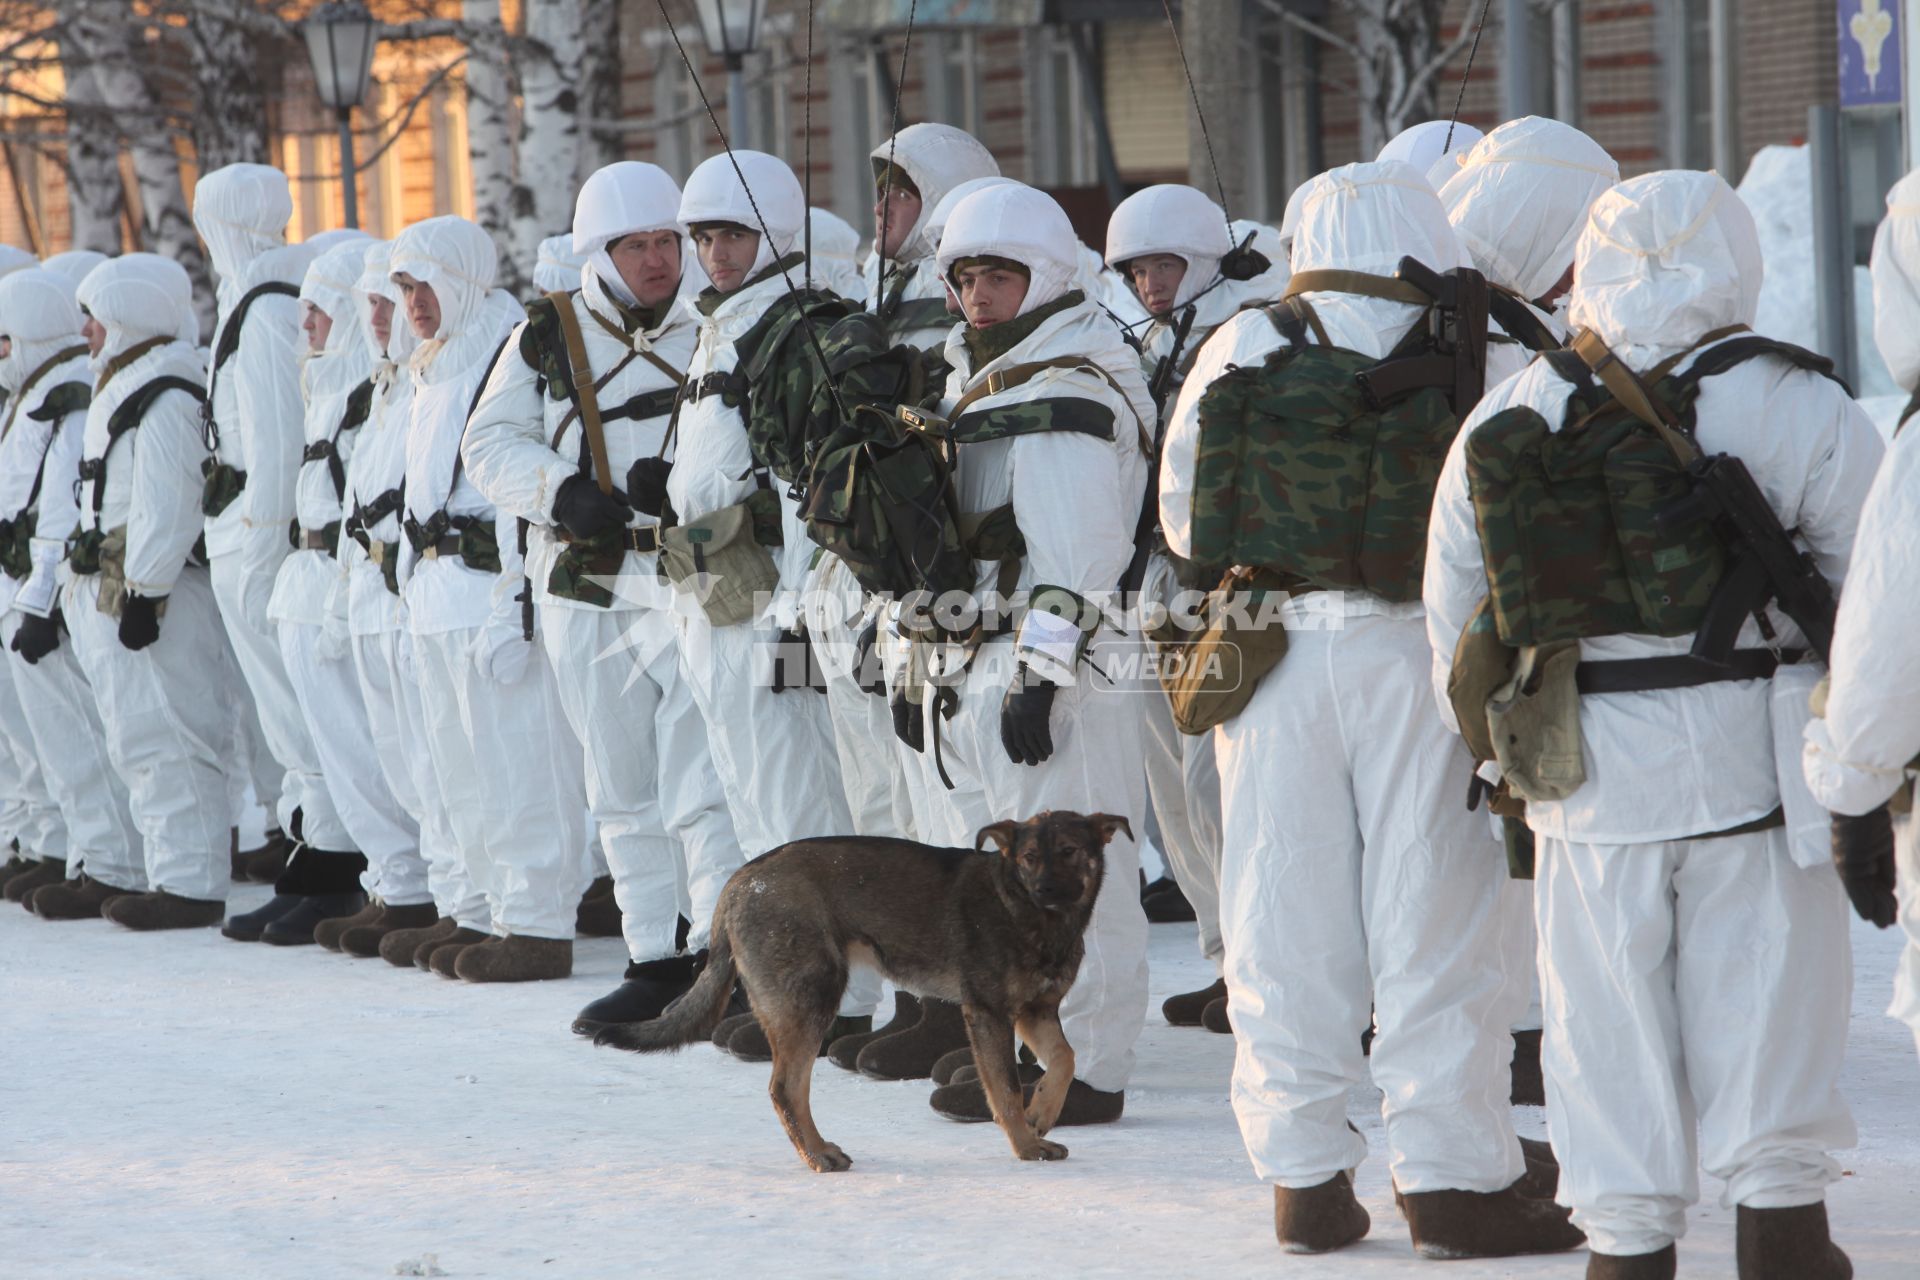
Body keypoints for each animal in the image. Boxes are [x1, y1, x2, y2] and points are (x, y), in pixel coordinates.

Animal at [595, 809, 1121, 1174]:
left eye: (1070, 851)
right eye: (1030, 859)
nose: (1047, 890)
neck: (1024, 909)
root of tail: (739, 882)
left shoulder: (1035, 1011)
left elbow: (1065, 1059)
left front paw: (1042, 1115)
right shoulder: (990, 1014)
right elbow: (1007, 1091)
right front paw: (1025, 1145)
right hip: (813, 997)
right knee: (785, 1088)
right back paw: (818, 1155)